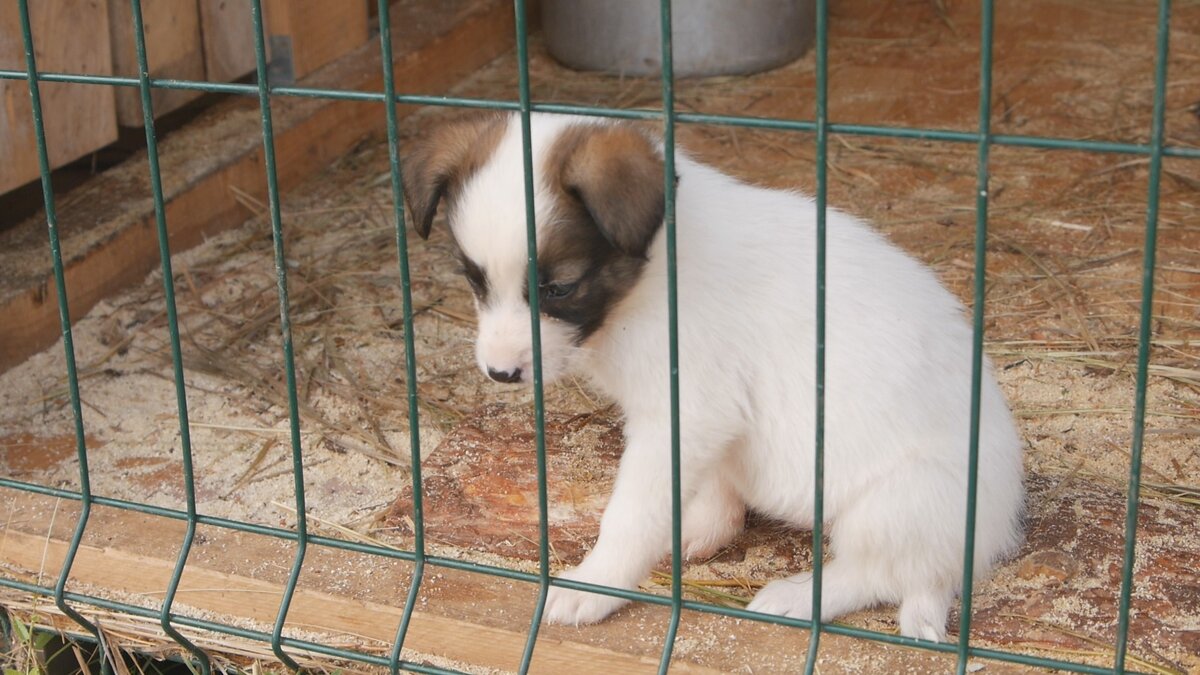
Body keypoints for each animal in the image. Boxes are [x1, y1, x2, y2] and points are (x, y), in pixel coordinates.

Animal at [400, 112, 1022, 638]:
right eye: (474, 279)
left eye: (558, 288)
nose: (500, 373)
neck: (650, 281)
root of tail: (985, 537)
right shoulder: (713, 422)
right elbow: (711, 492)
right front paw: (694, 531)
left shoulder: (687, 409)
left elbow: (632, 516)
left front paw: (595, 585)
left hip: (895, 503)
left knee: (879, 574)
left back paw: (797, 596)